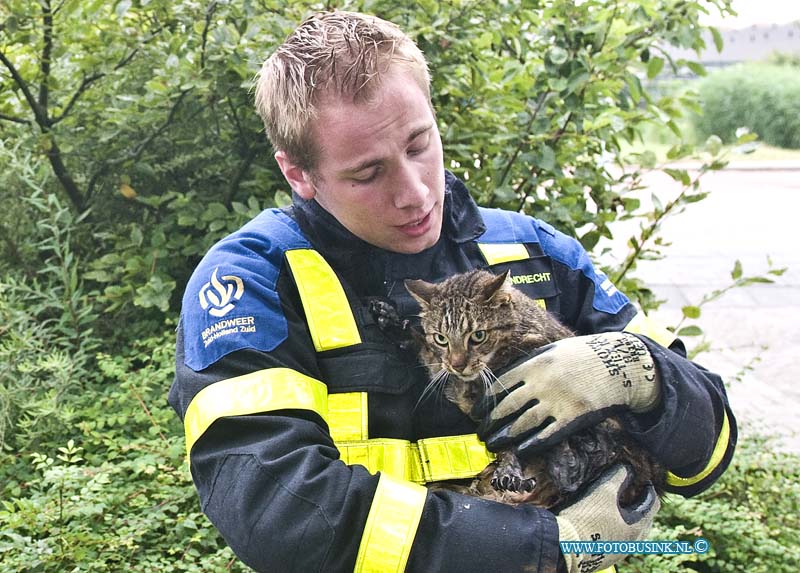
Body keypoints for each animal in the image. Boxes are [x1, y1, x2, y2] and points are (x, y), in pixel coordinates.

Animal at [404, 270, 664, 510]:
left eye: (478, 336)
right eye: (441, 338)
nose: (458, 364)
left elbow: (509, 440)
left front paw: (508, 469)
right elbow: (435, 363)